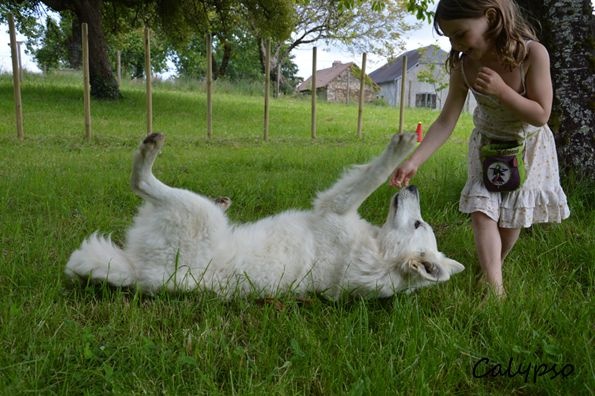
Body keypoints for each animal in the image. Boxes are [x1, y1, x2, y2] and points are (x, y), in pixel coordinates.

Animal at [66, 131, 466, 298]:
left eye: (418, 223)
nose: (414, 188)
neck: (376, 257)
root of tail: (137, 272)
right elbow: (373, 176)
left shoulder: (334, 204)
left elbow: (373, 173)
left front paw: (398, 148)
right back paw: (220, 200)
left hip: (189, 208)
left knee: (141, 181)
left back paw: (150, 151)